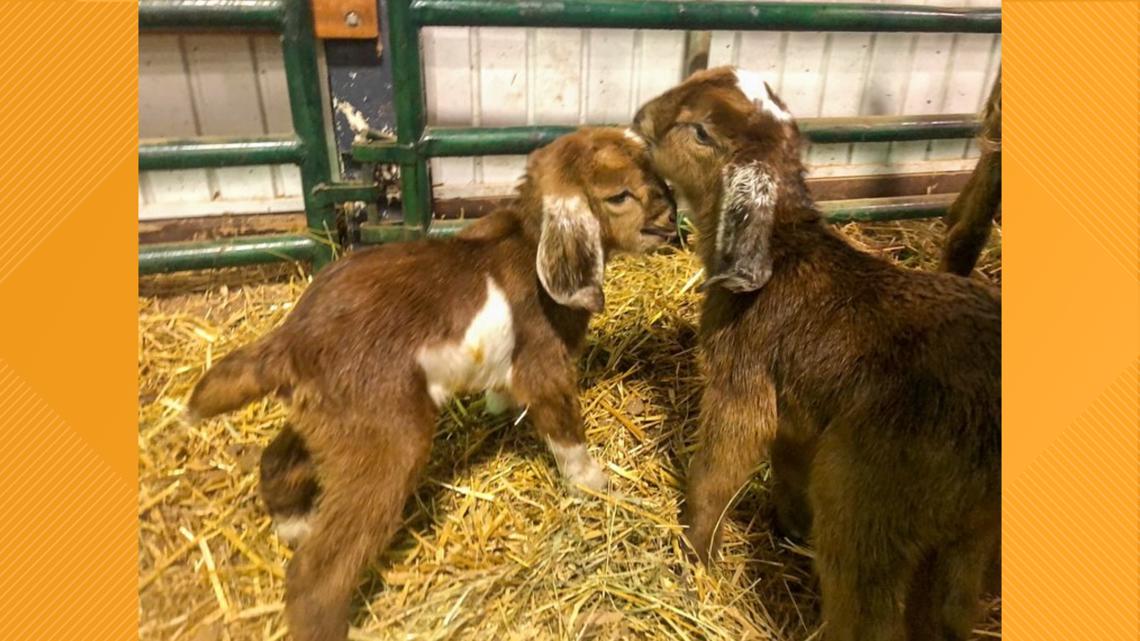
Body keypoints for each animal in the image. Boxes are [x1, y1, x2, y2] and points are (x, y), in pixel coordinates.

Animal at [186, 126, 674, 638]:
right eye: (618, 195)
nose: (670, 216)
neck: (528, 242)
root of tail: (292, 342)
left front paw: (499, 408)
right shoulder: (545, 368)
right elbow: (566, 436)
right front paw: (596, 485)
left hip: (328, 423)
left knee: (279, 461)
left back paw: (295, 525)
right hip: (387, 441)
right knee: (319, 569)